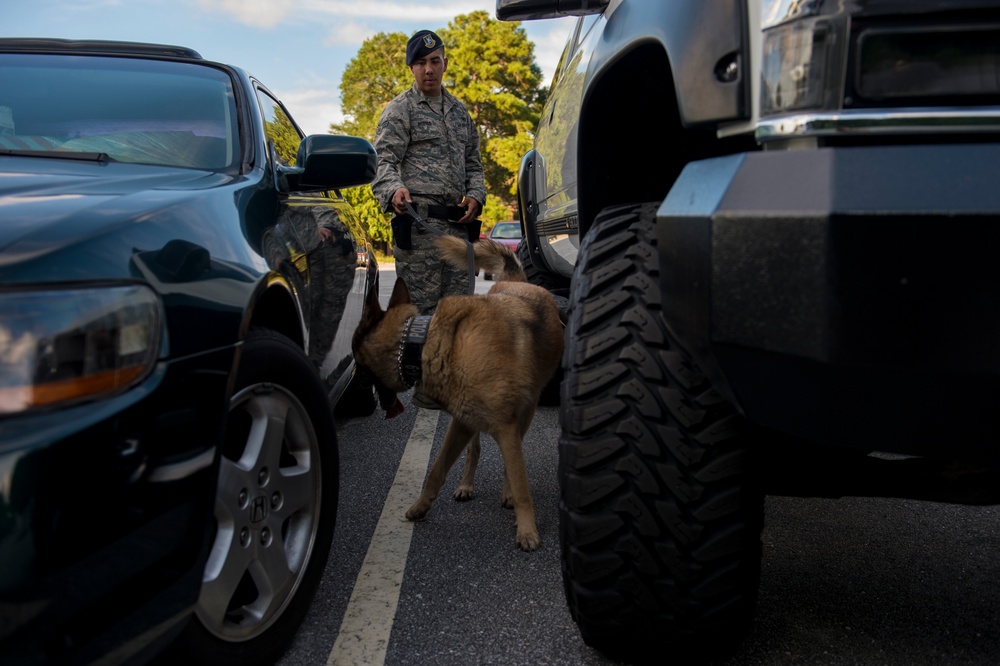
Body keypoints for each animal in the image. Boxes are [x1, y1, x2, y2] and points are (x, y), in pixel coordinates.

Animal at [352, 236, 564, 548]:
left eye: (358, 363)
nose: (354, 385)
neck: (428, 341)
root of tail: (517, 282)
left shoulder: (507, 429)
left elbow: (520, 482)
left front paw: (527, 529)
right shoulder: (460, 424)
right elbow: (437, 470)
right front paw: (420, 507)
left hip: (525, 413)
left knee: (509, 464)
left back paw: (507, 495)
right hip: (474, 423)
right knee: (474, 451)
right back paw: (466, 485)